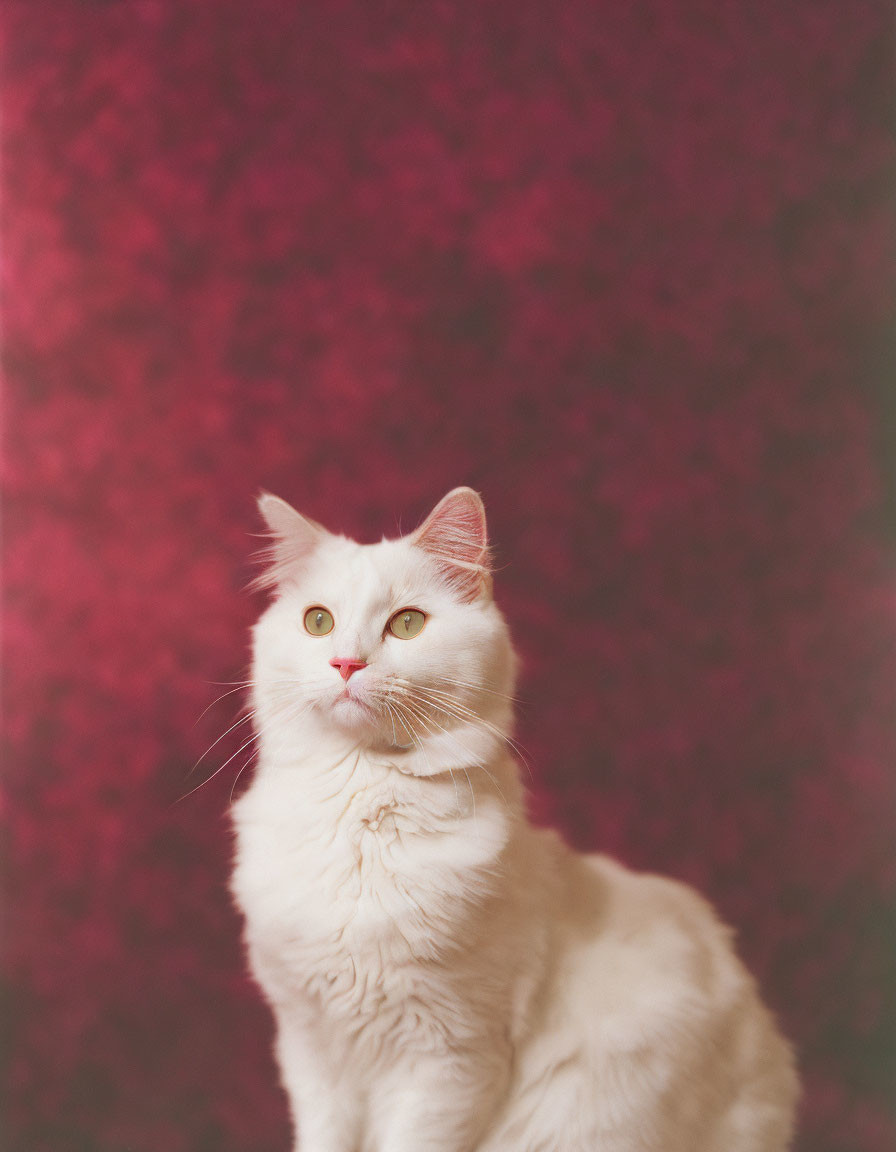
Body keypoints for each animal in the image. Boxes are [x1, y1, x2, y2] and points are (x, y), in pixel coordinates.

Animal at [229, 488, 796, 1152]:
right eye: (317, 621)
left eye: (407, 624)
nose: (346, 664)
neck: (361, 816)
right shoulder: (312, 1049)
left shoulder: (449, 1057)